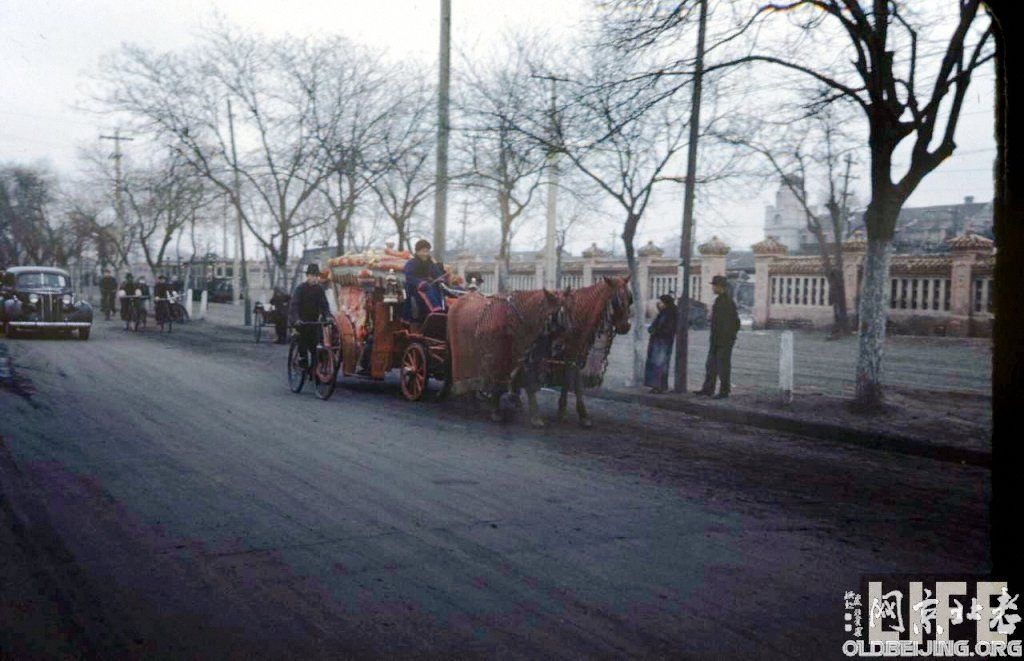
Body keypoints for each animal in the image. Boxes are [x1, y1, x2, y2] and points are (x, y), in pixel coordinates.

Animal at [448, 286, 569, 421]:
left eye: (567, 314)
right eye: (555, 315)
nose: (560, 346)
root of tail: (458, 301)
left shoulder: (520, 357)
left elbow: (520, 381)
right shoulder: (496, 359)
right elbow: (497, 383)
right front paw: (495, 410)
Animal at [552, 276, 630, 427]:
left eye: (630, 298)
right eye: (616, 300)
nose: (626, 326)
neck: (578, 315)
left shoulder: (578, 354)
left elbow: (577, 382)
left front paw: (583, 414)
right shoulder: (568, 353)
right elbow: (567, 379)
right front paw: (562, 410)